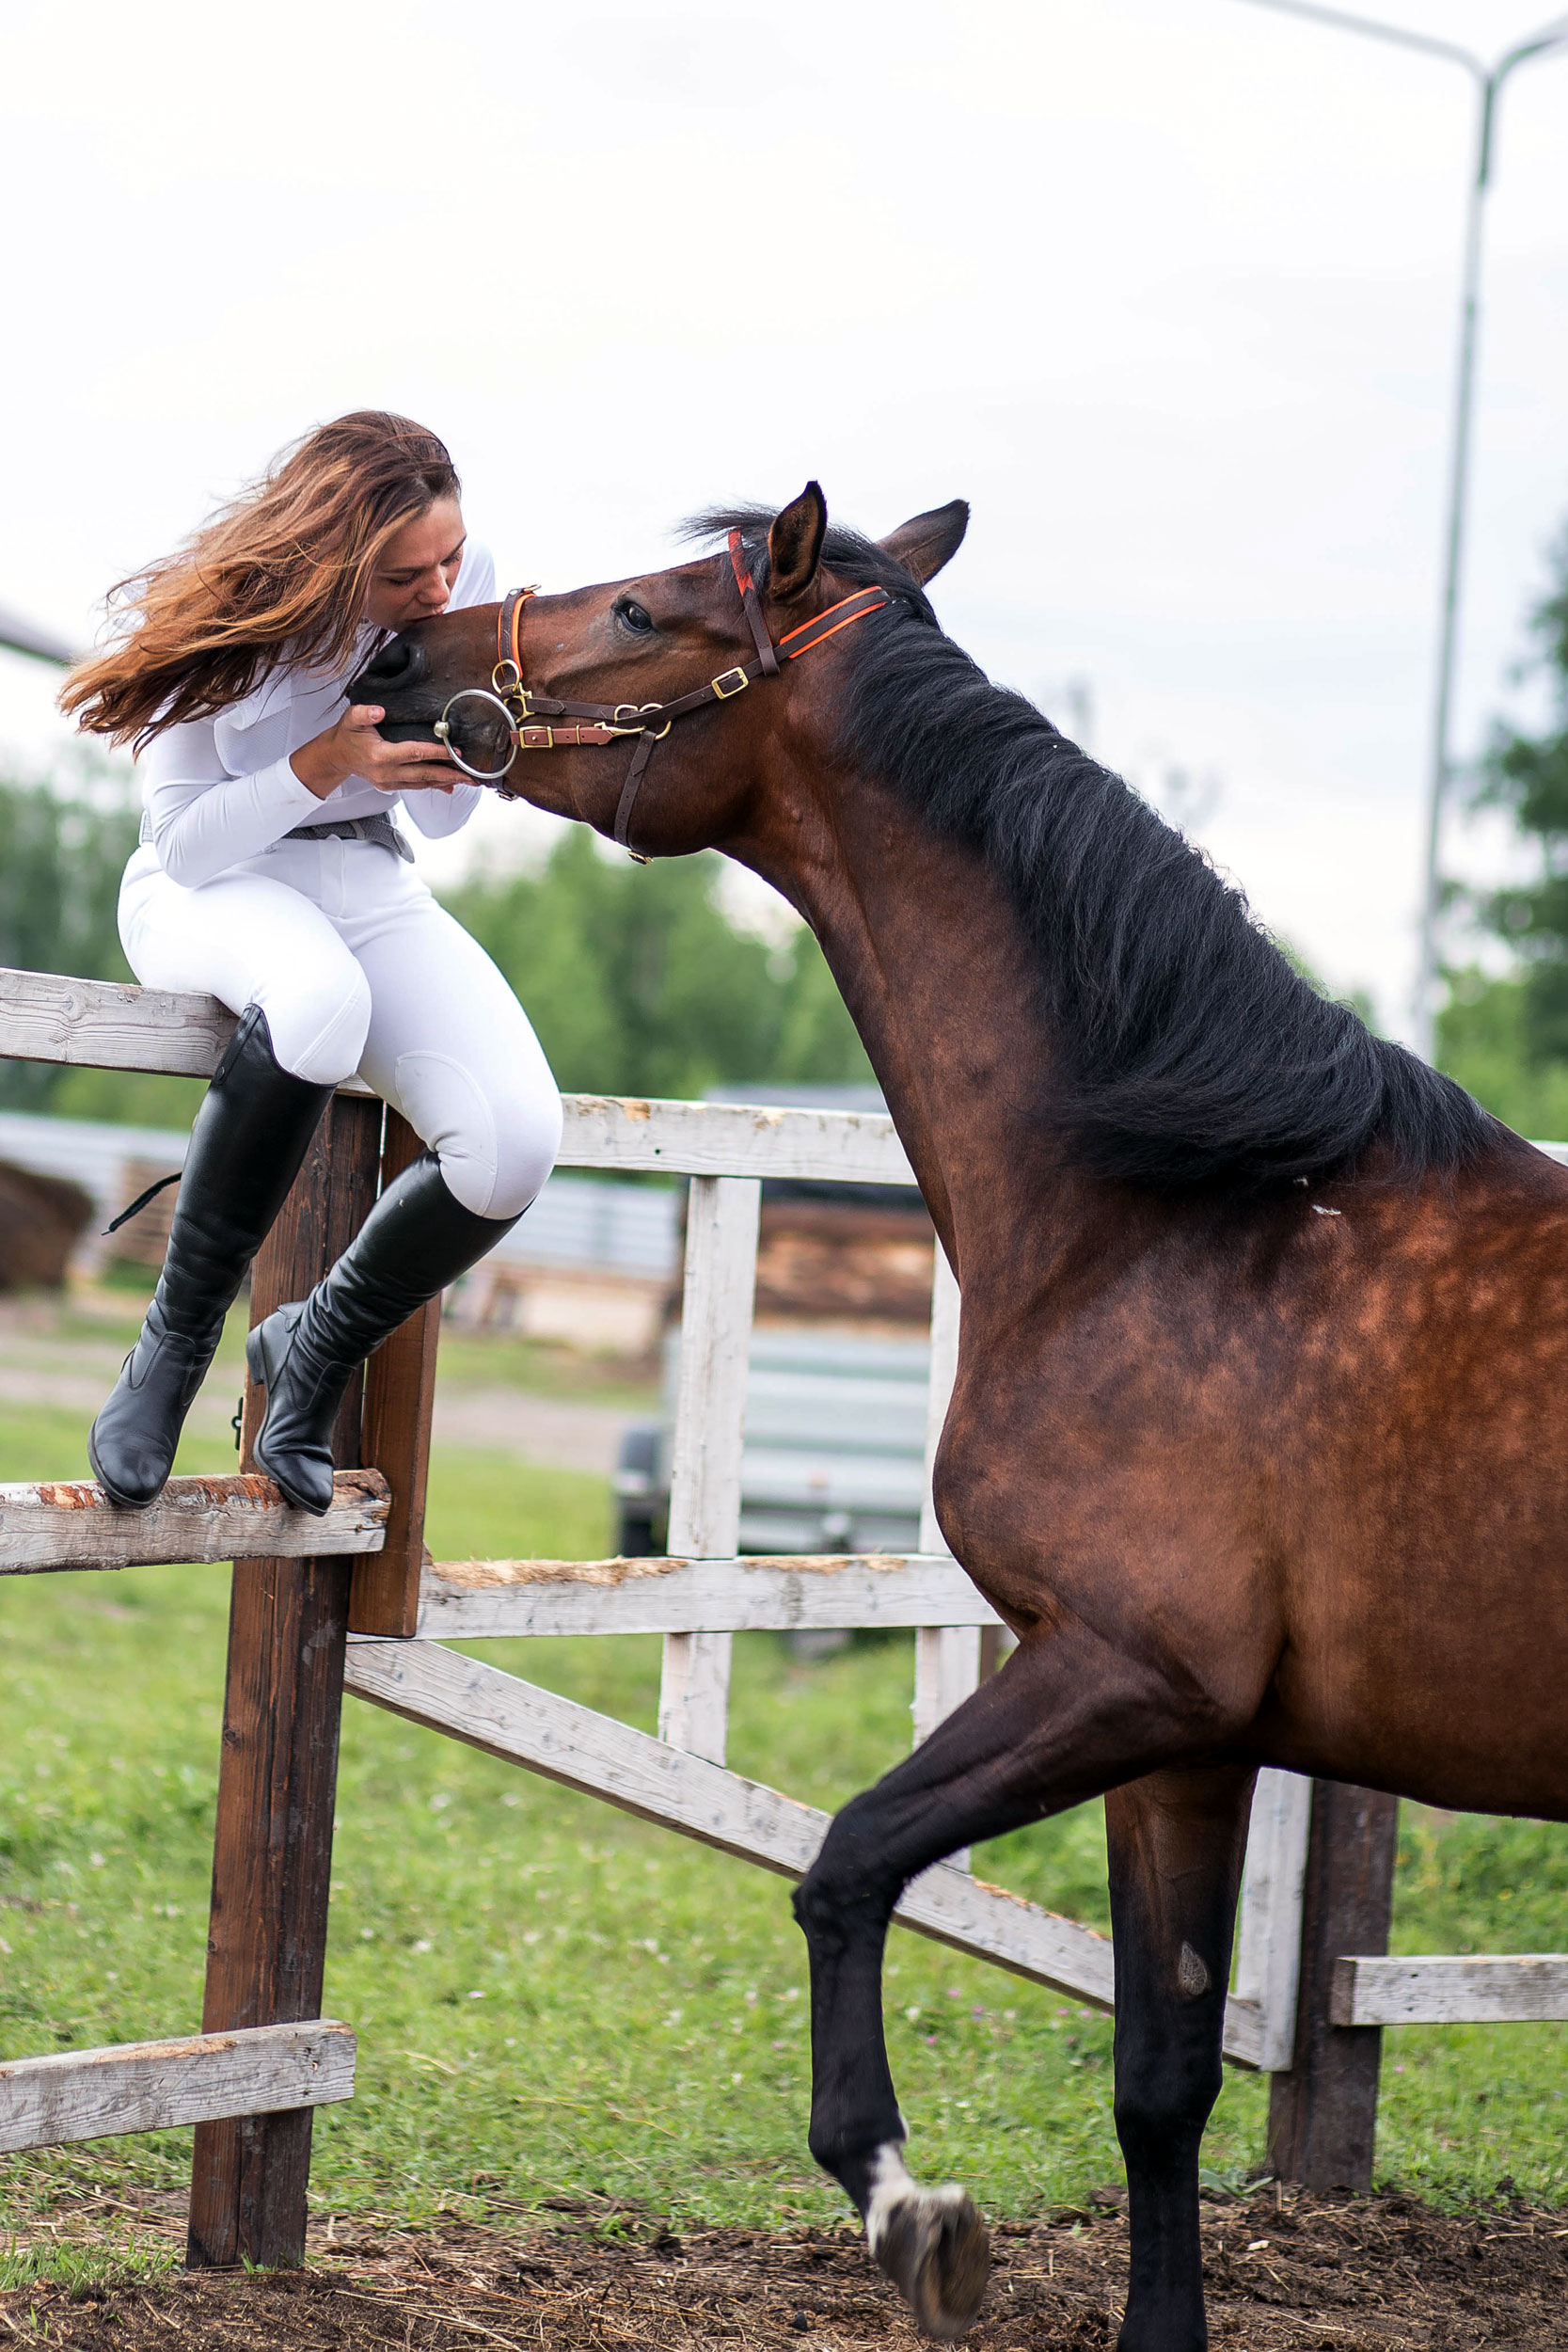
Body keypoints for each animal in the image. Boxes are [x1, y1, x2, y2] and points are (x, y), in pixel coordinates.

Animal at [350, 485, 1568, 2352]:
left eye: (638, 611)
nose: (401, 660)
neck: (1179, 1214)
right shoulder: (1188, 1745)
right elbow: (1159, 2084)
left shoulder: (1125, 1675)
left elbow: (845, 1863)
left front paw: (902, 2200)